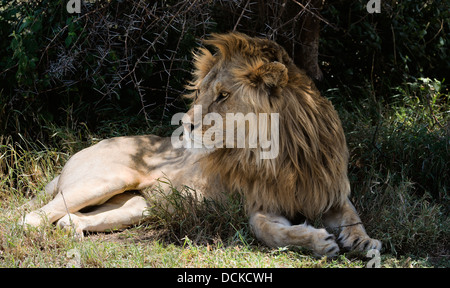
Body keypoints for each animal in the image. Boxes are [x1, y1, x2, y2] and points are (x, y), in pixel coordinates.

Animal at [20, 32, 380, 256]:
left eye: (223, 95)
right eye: (202, 92)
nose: (185, 124)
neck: (284, 154)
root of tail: (83, 150)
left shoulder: (331, 192)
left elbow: (354, 218)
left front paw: (364, 242)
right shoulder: (259, 207)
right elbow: (271, 232)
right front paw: (319, 243)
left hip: (136, 206)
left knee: (69, 218)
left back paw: (74, 233)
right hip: (106, 180)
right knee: (32, 218)